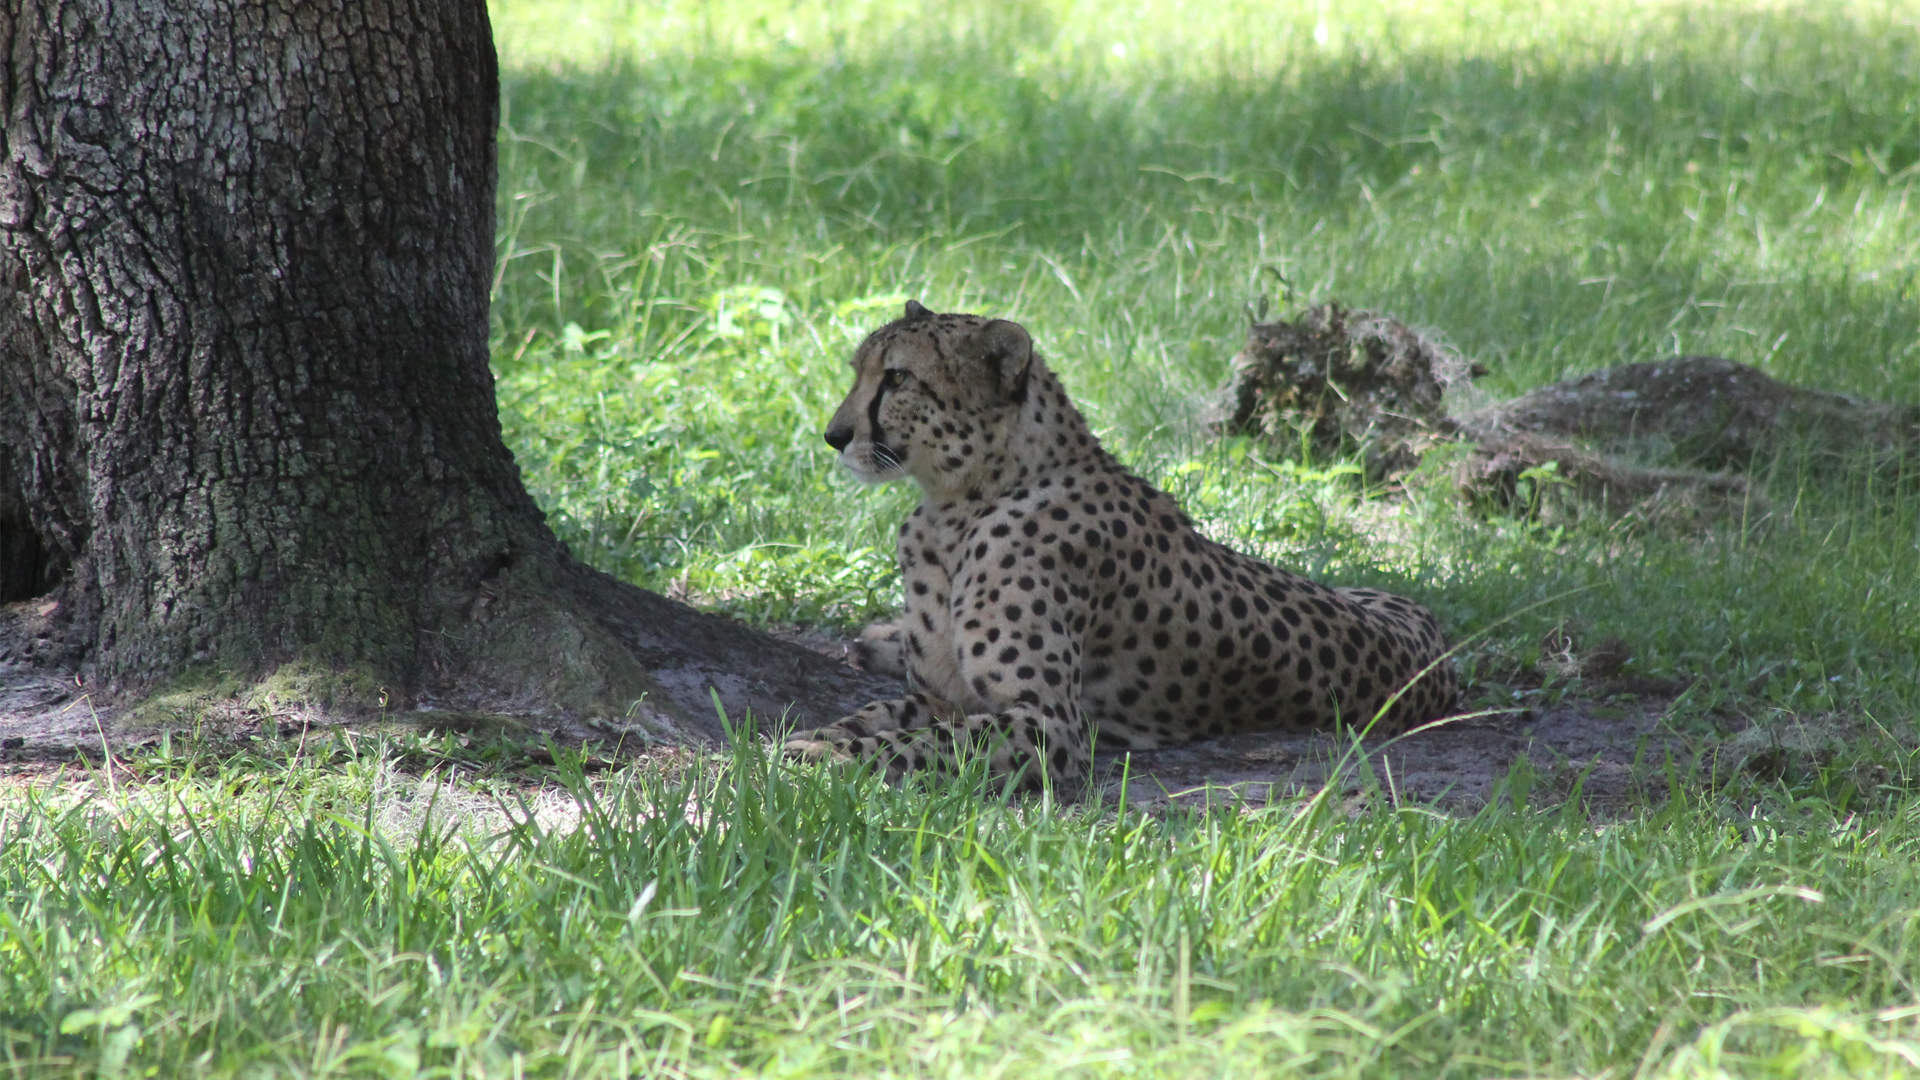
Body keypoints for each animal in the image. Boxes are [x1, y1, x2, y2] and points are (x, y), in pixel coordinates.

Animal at [785, 300, 1457, 787]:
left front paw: (831, 756)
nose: (834, 435)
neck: (957, 505)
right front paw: (823, 736)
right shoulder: (940, 695)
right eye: (860, 371)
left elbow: (922, 742)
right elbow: (877, 714)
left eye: (897, 377)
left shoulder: (1048, 725)